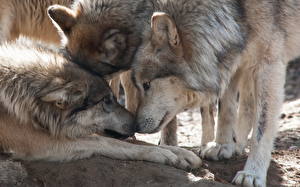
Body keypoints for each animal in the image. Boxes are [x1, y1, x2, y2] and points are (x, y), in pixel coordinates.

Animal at [0, 38, 202, 172]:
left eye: (113, 98)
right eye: (106, 101)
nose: (137, 124)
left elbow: (131, 140)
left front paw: (180, 153)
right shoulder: (40, 142)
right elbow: (108, 142)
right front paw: (161, 154)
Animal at [130, 0, 300, 186]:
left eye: (146, 85)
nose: (135, 126)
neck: (236, 11)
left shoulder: (268, 64)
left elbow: (261, 129)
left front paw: (253, 174)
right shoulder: (234, 58)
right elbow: (226, 108)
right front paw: (222, 146)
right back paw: (237, 145)